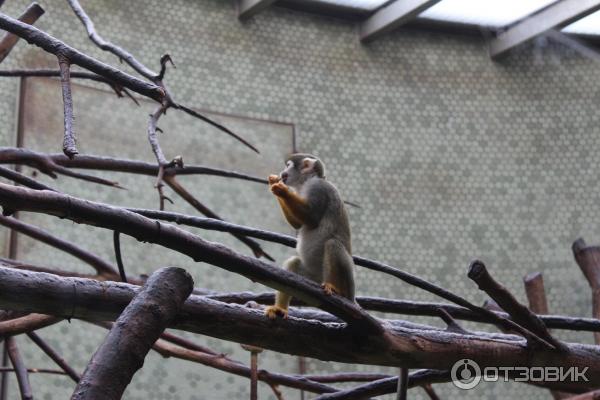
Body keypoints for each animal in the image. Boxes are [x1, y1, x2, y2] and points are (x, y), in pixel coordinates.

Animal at [264, 153, 356, 318]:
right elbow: (297, 225)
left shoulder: (318, 188)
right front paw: (274, 183)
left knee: (332, 244)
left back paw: (335, 288)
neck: (307, 181)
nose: (282, 172)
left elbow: (311, 218)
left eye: (288, 165)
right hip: (311, 279)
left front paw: (283, 191)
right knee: (293, 263)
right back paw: (280, 309)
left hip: (348, 285)